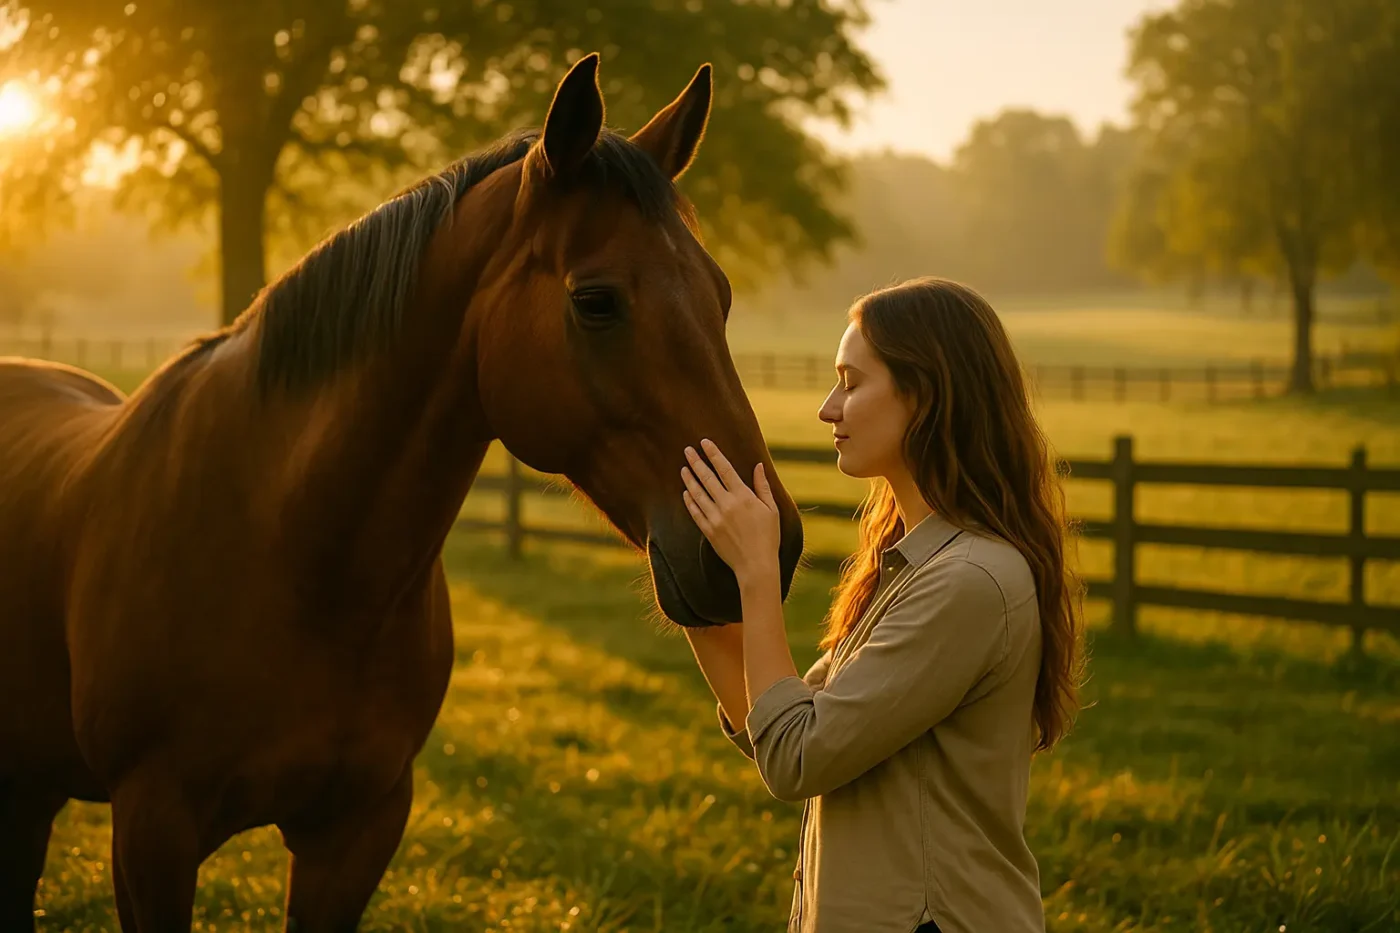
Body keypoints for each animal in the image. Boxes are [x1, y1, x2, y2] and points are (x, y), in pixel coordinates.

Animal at [0, 54, 805, 931]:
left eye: (720, 294)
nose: (767, 547)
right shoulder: (153, 831)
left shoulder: (358, 828)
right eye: (596, 300)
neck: (288, 553)